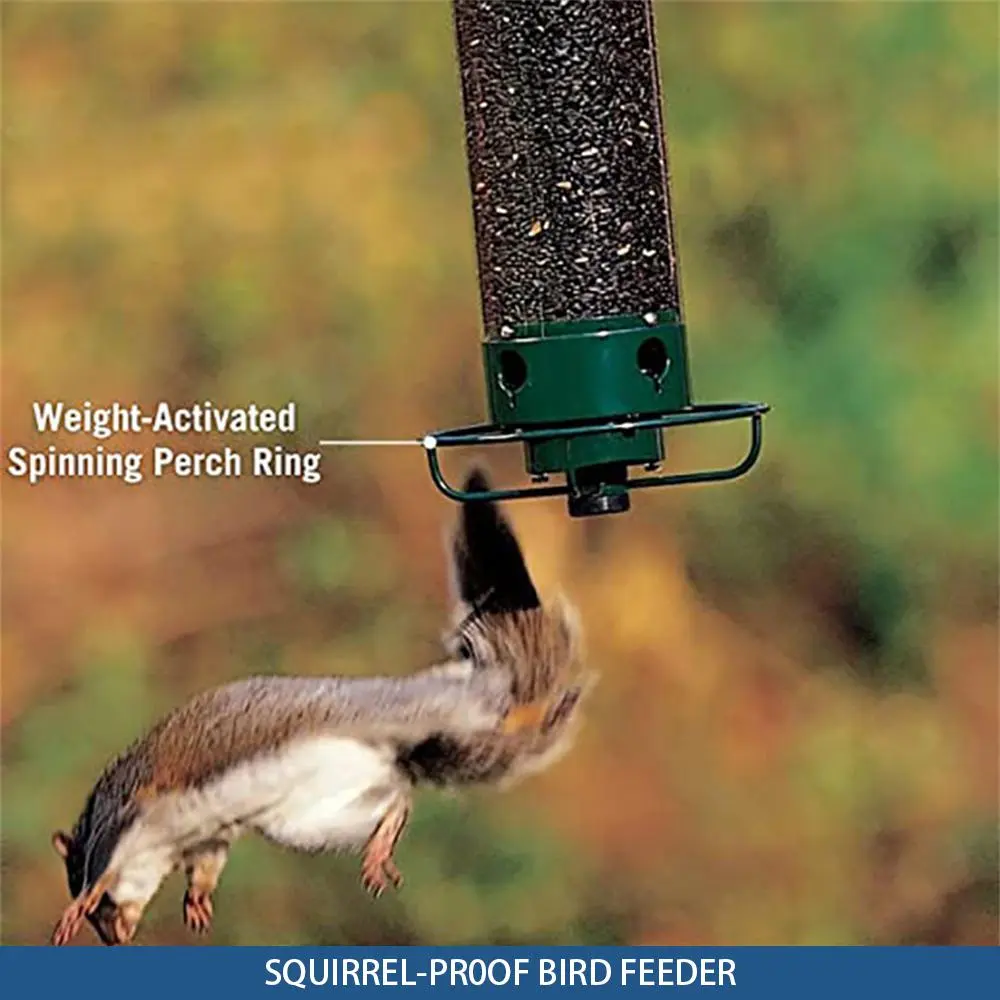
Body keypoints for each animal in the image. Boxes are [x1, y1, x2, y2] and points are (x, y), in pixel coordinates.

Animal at [50, 468, 594, 946]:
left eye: (102, 910)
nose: (115, 939)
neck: (163, 845)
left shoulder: (130, 812)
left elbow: (105, 867)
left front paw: (80, 903)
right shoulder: (207, 840)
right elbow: (206, 868)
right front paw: (197, 902)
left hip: (410, 725)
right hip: (311, 818)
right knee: (398, 795)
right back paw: (381, 843)